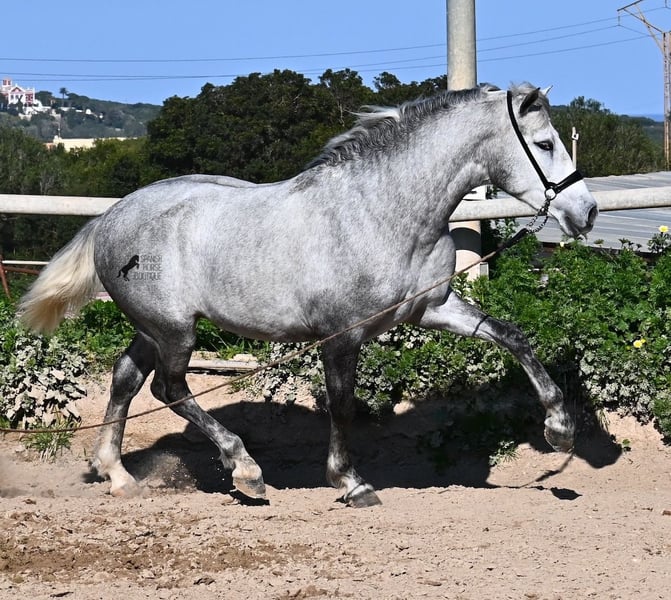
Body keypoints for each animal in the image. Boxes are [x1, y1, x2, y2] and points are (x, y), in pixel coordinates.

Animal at [18, 83, 598, 507]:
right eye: (545, 144)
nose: (586, 212)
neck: (381, 212)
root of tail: (112, 216)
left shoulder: (432, 308)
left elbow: (512, 336)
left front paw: (560, 429)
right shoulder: (341, 336)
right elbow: (342, 405)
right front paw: (352, 483)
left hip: (154, 329)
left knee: (125, 378)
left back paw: (116, 474)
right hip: (174, 330)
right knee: (169, 389)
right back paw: (245, 470)